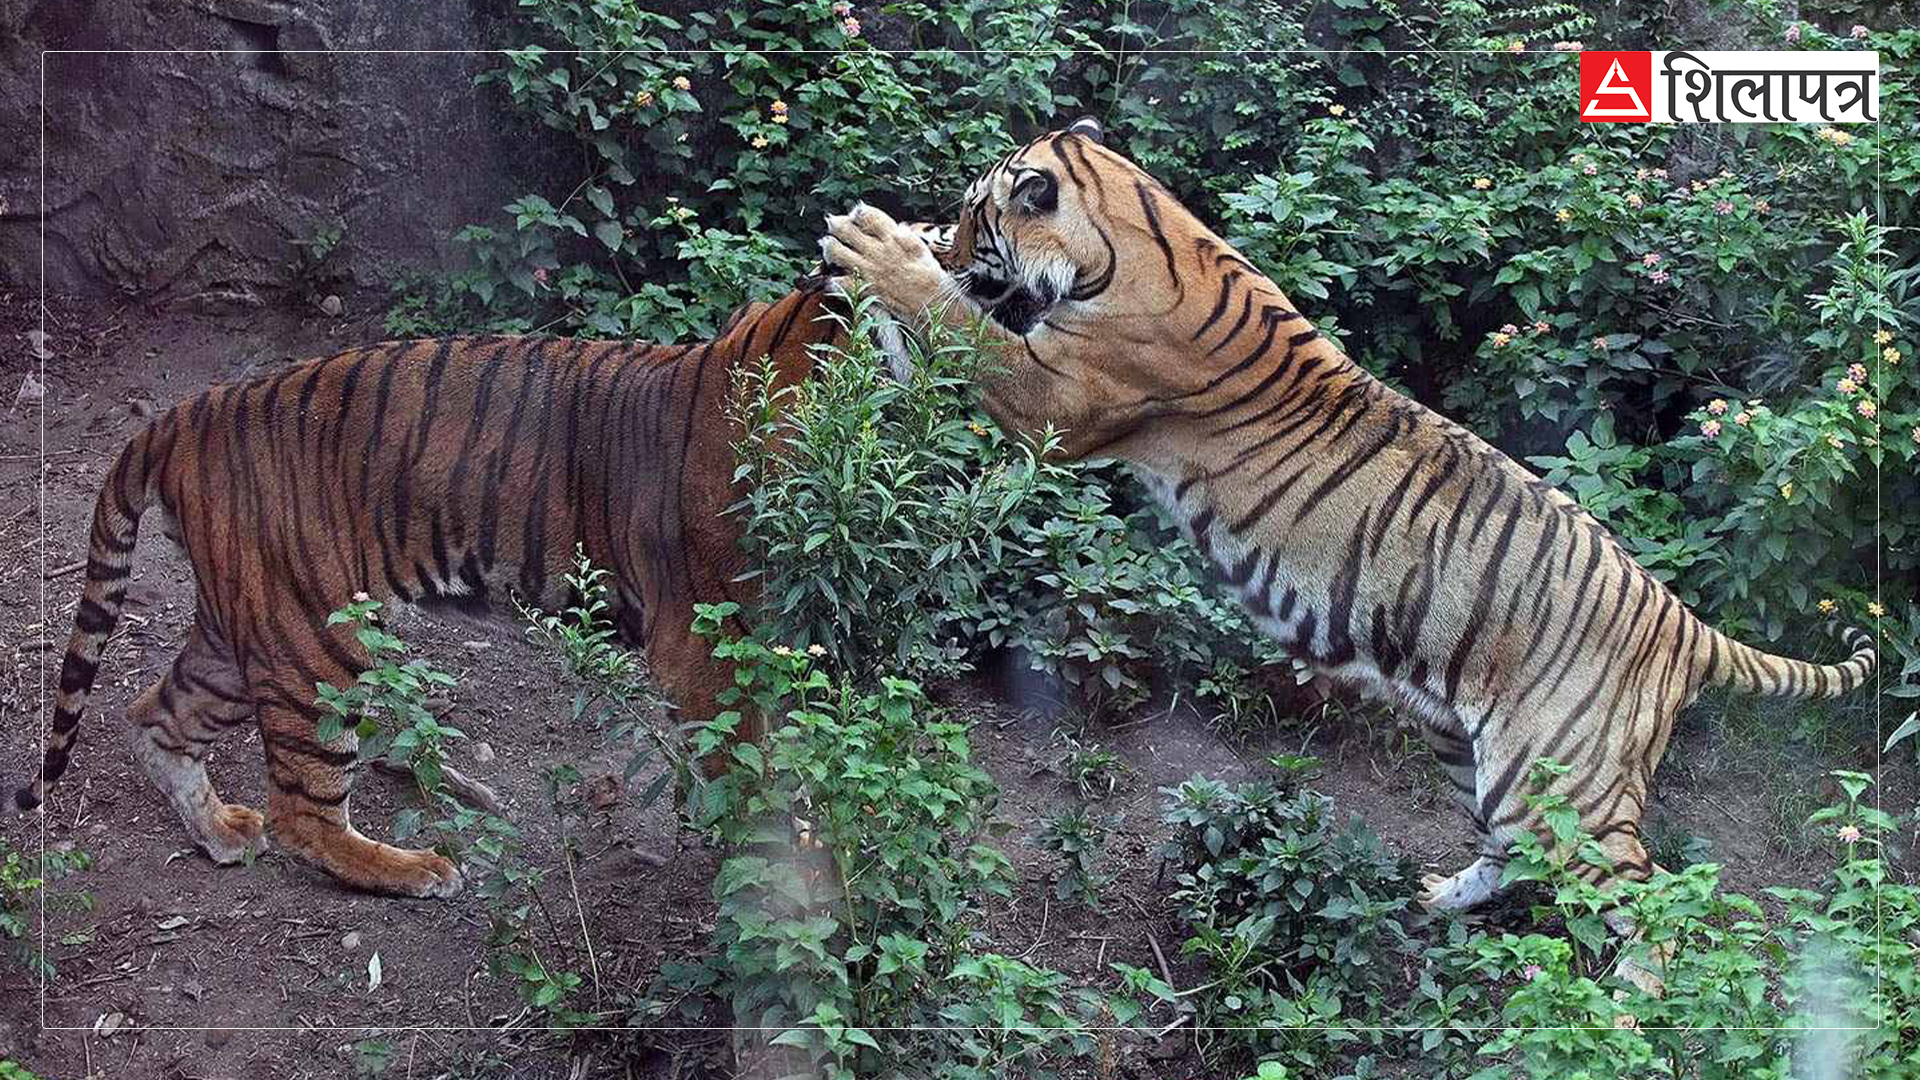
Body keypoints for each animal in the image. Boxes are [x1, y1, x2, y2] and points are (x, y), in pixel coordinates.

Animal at [22, 228, 952, 899]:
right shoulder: (704, 647)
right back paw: (415, 871)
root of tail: (185, 414)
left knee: (153, 714)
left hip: (250, 620)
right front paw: (768, 860)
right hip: (314, 641)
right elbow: (742, 763)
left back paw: (219, 833)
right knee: (301, 810)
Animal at [825, 119, 1873, 976]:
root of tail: (1681, 621)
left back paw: (1626, 1011)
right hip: (1475, 749)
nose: (951, 240)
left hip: (1565, 783)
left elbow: (958, 329)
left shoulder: (1056, 398)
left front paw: (881, 251)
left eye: (976, 215)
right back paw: (1440, 902)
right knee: (1510, 853)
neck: (1129, 223)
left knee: (1652, 904)